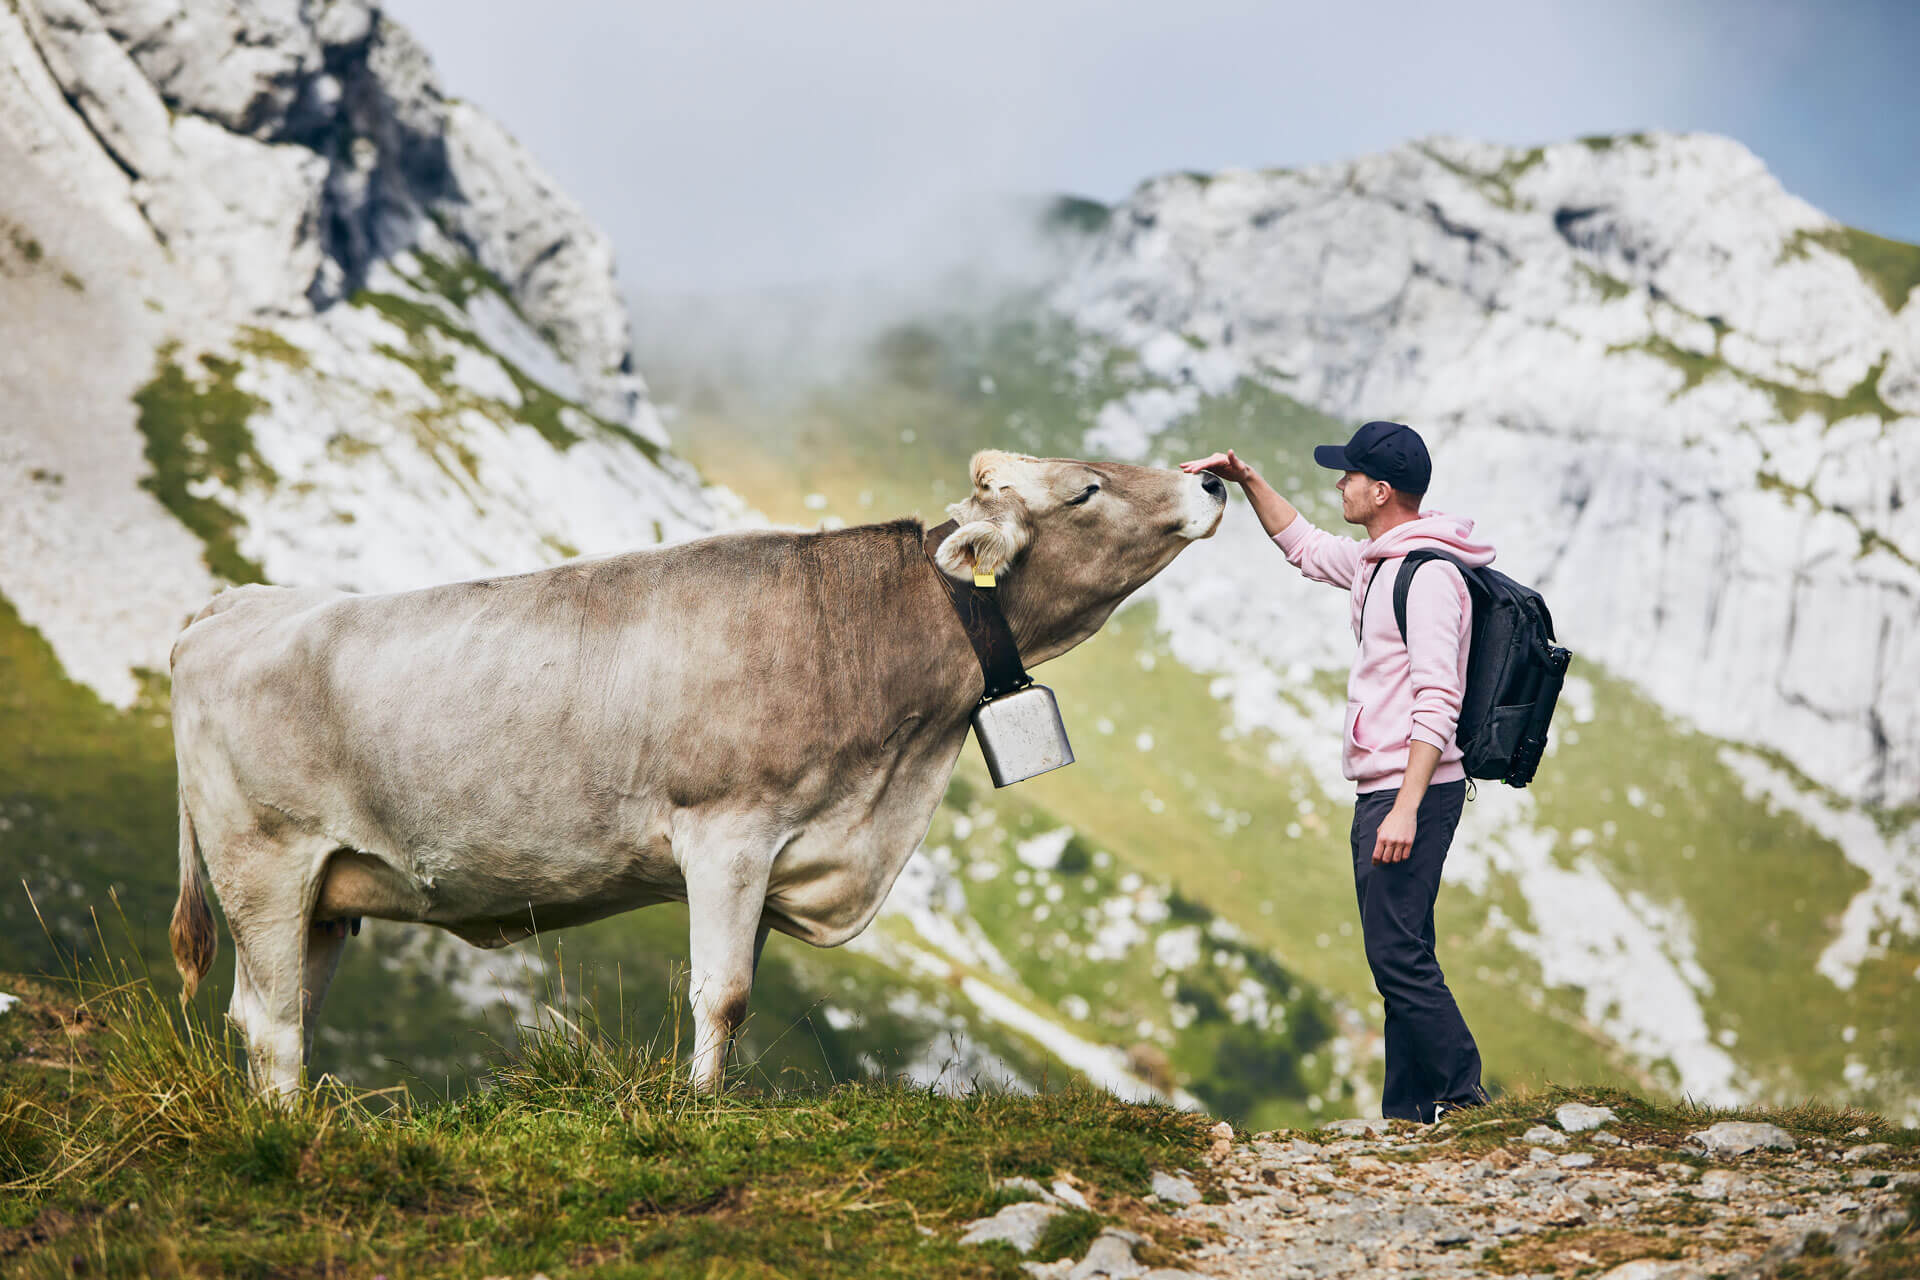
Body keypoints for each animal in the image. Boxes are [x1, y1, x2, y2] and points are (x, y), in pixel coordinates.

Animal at [168, 450, 1229, 1095]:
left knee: (283, 1014)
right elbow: (720, 993)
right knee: (268, 1023)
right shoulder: (728, 832)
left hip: (327, 894)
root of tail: (231, 605)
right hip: (263, 865)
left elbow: (743, 994)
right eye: (1086, 491)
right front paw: (699, 1113)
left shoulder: (779, 852)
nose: (1210, 484)